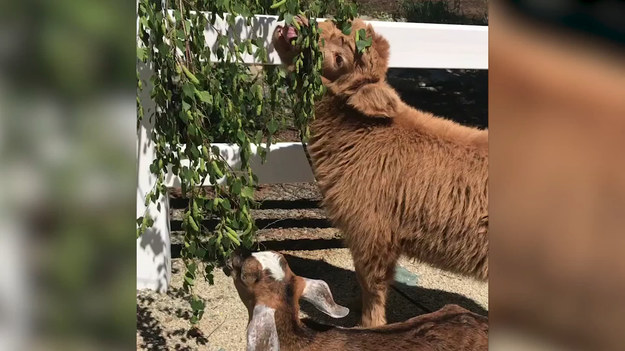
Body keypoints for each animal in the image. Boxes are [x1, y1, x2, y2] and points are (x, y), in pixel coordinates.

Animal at [272, 17, 488, 328]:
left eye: (340, 59)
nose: (297, 26)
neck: (362, 135)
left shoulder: (370, 230)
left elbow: (371, 283)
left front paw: (368, 325)